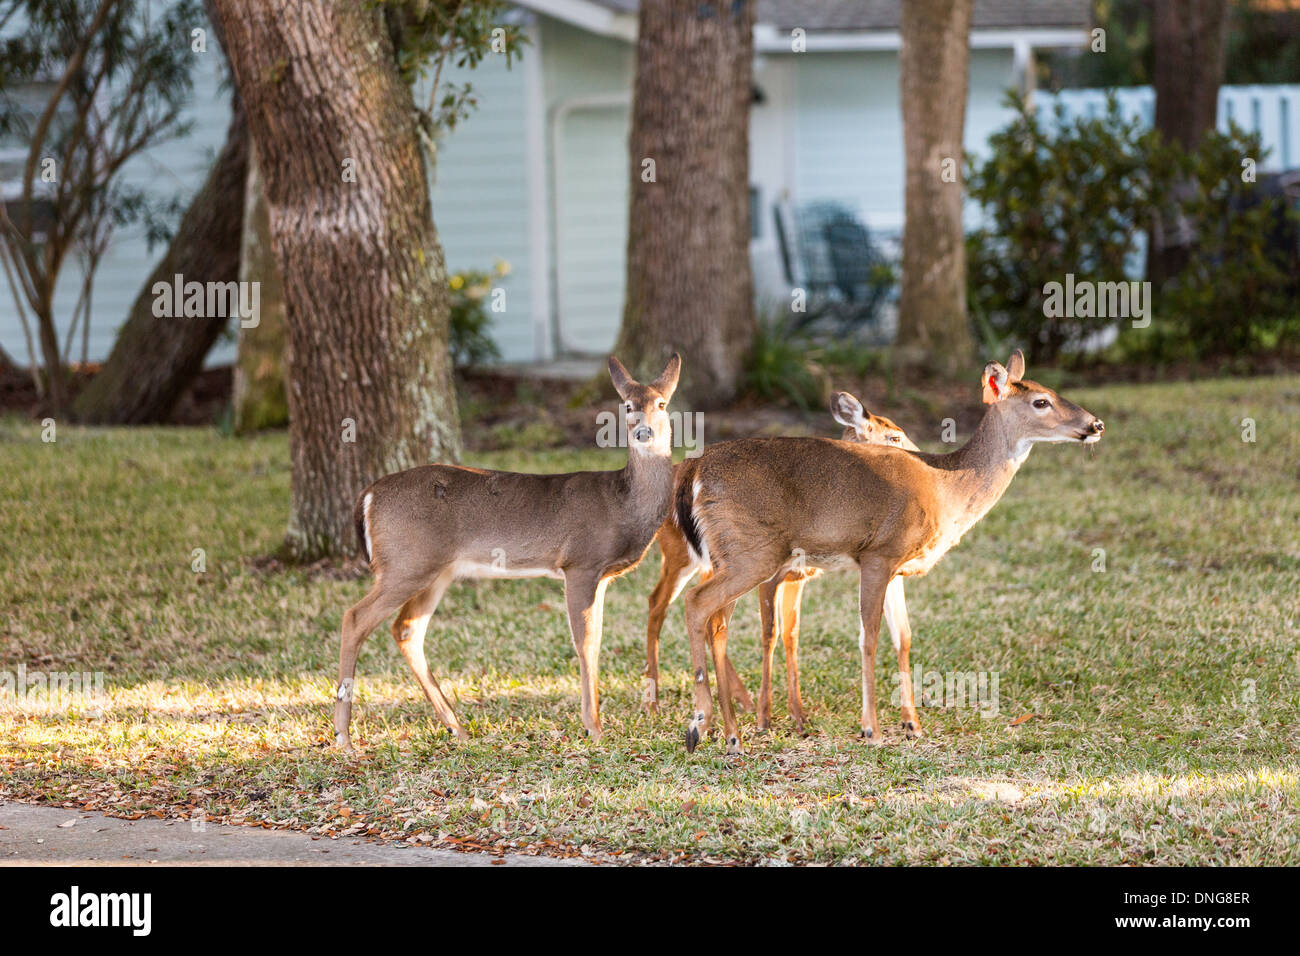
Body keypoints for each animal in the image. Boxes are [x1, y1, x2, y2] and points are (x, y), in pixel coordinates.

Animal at [332, 356, 681, 749]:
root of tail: (368, 495)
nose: (643, 434)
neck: (622, 504)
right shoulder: (580, 562)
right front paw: (594, 727)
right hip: (406, 562)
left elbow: (597, 639)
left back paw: (456, 727)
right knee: (355, 617)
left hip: (436, 570)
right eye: (628, 405)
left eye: (661, 404)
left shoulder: (601, 576)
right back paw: (343, 735)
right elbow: (587, 644)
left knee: (406, 629)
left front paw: (594, 723)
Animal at [642, 390, 925, 738]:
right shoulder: (772, 576)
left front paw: (798, 715)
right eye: (894, 436)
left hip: (711, 563)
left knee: (700, 614)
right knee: (661, 602)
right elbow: (770, 633)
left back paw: (737, 702)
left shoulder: (797, 577)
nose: (920, 462)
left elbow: (792, 634)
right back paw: (657, 705)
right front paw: (765, 717)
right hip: (684, 555)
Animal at [676, 351, 1102, 754]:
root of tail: (694, 470)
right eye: (1041, 401)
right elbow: (870, 636)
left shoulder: (897, 566)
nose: (1095, 424)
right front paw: (872, 729)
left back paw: (731, 735)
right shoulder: (878, 553)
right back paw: (699, 724)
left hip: (731, 553)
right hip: (752, 551)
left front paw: (912, 723)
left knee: (718, 624)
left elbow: (904, 635)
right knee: (697, 603)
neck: (946, 487)